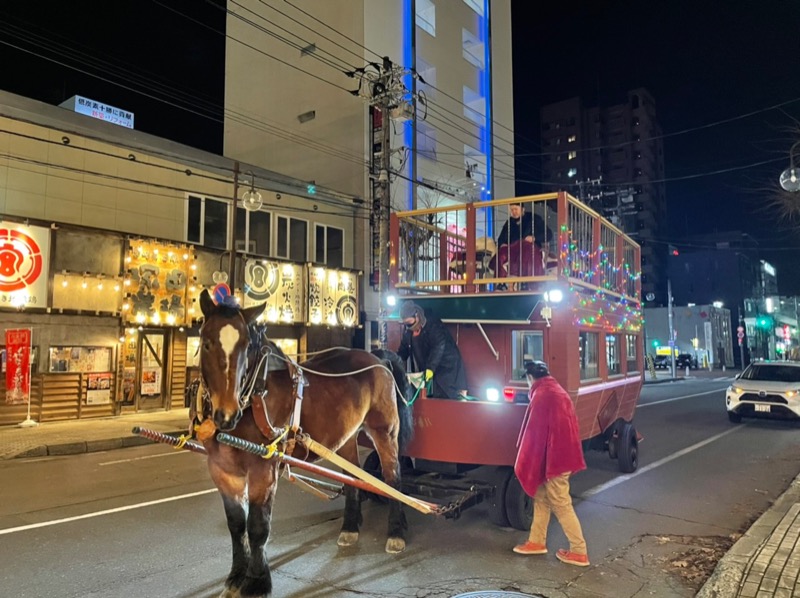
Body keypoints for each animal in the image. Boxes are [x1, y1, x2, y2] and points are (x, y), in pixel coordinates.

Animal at [194, 288, 412, 596]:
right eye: (207, 342)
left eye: (246, 347)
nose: (227, 414)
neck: (254, 398)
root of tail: (377, 357)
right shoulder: (222, 469)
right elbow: (236, 525)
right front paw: (236, 577)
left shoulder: (264, 469)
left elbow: (258, 526)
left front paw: (257, 582)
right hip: (347, 437)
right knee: (353, 477)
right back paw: (349, 527)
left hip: (385, 430)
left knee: (392, 478)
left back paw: (395, 531)